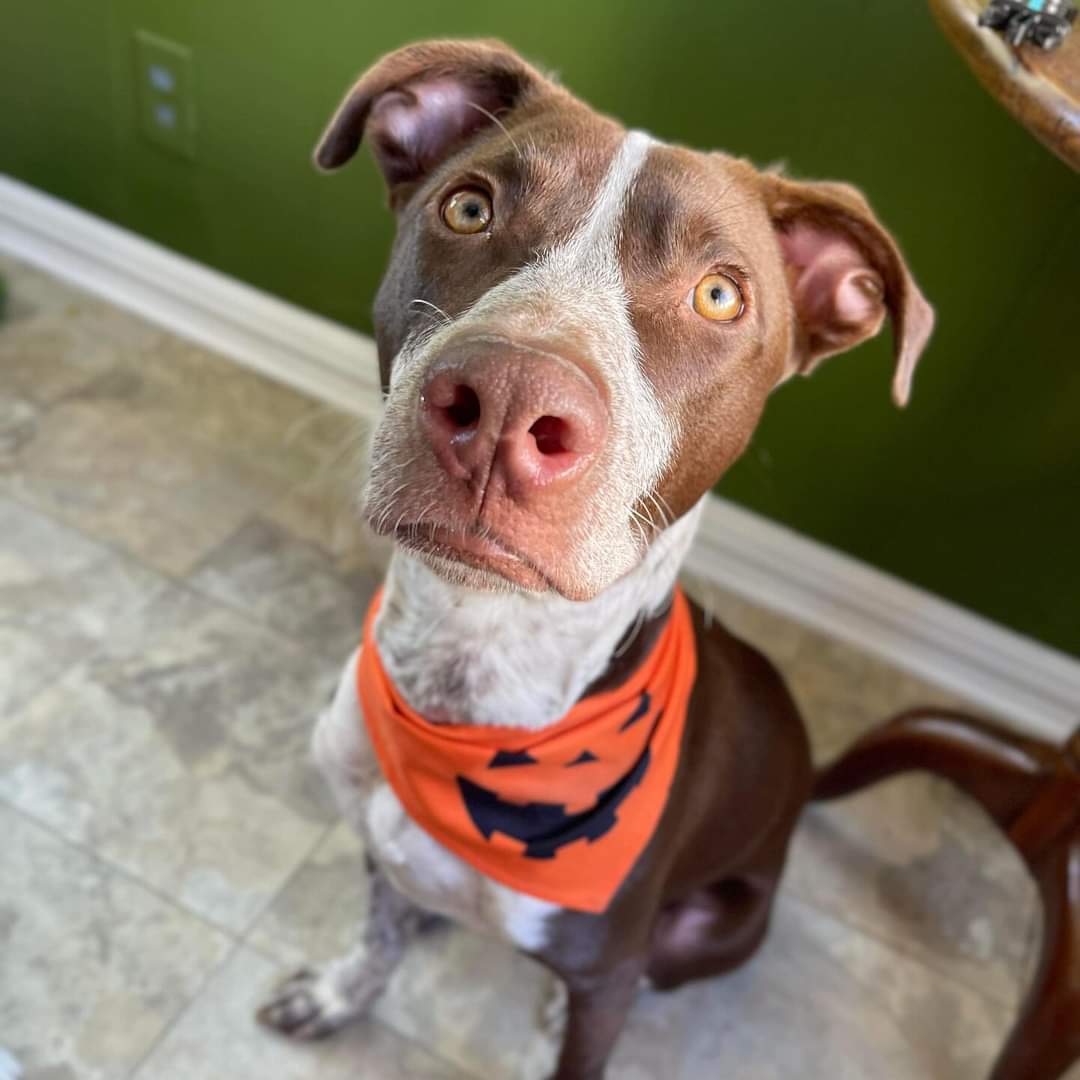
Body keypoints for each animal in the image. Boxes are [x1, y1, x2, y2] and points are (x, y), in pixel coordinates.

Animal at [257, 38, 933, 1075]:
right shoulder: (373, 841)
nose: (505, 401)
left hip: (718, 928)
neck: (472, 668)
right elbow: (376, 934)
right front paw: (340, 991)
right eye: (469, 207)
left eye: (720, 294)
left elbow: (587, 1027)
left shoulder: (606, 971)